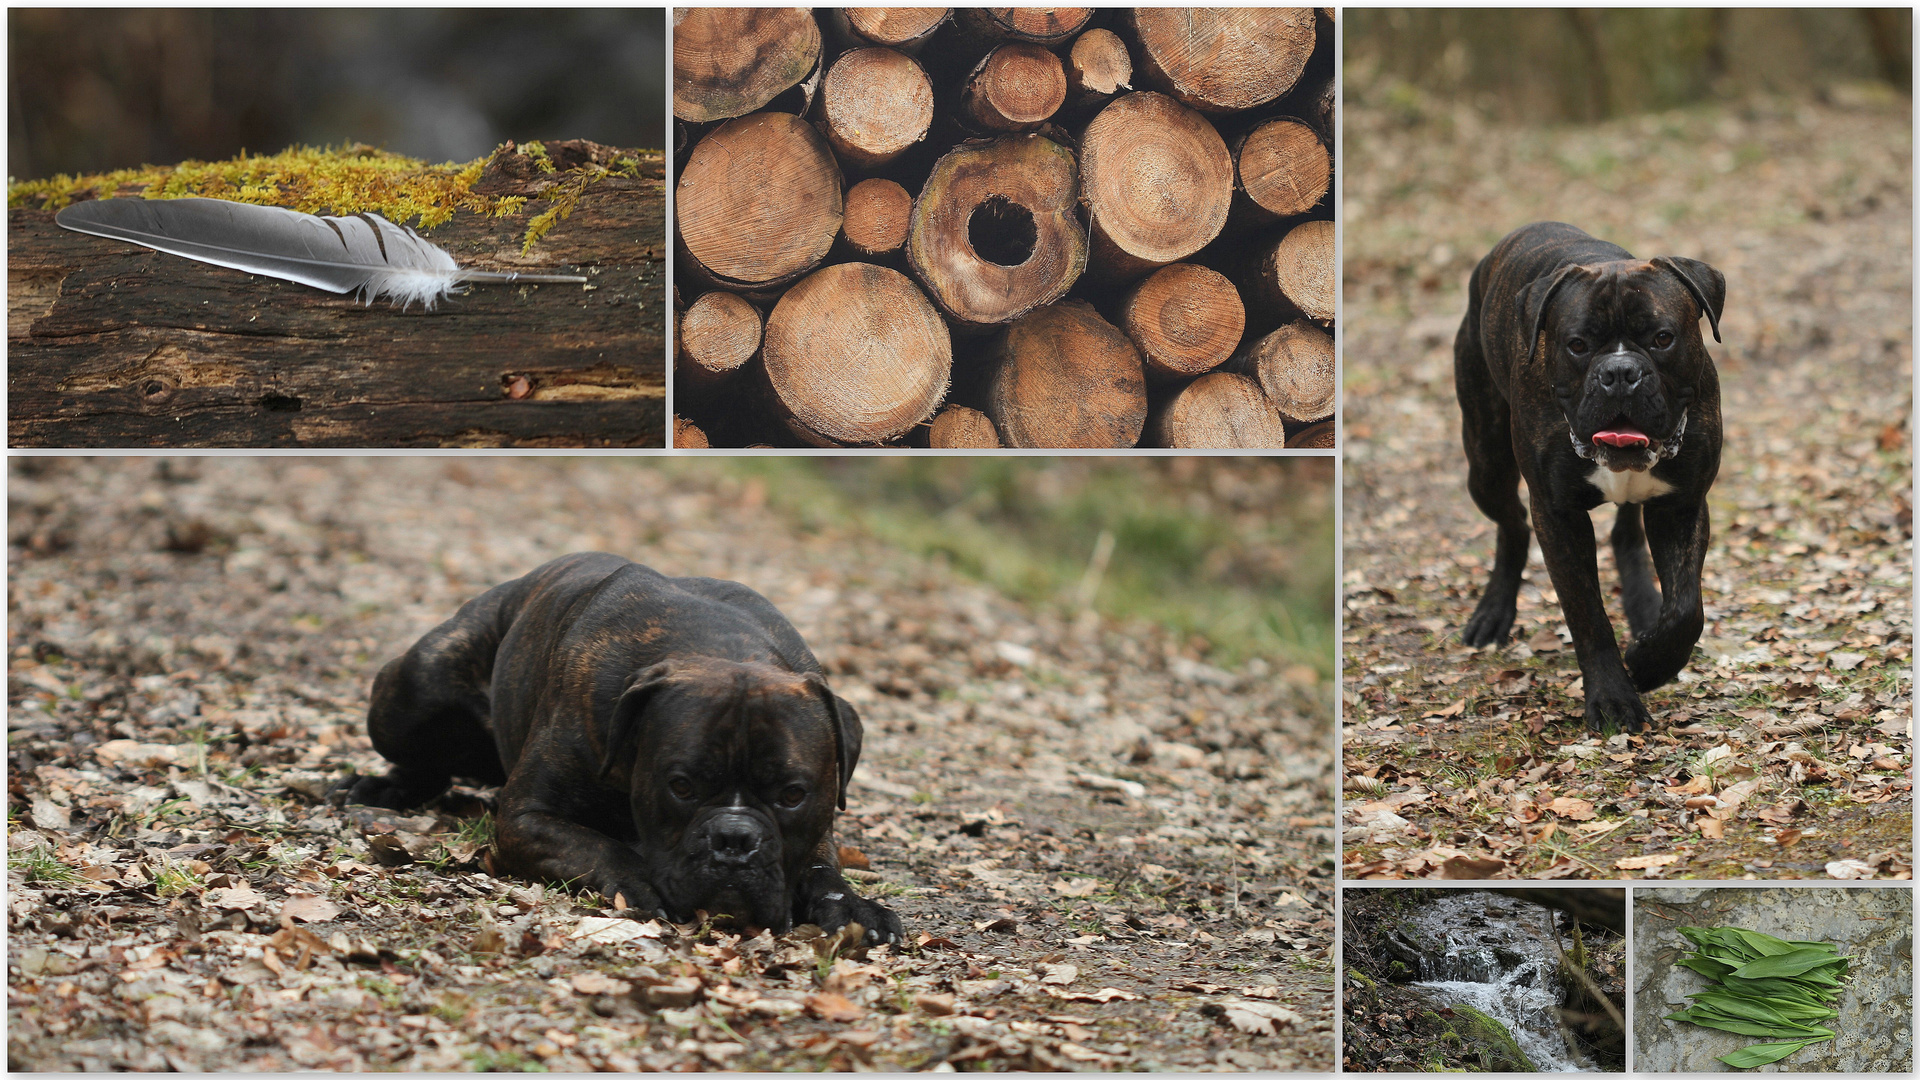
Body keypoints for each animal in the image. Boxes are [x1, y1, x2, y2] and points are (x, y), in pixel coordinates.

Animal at [339, 553, 906, 941]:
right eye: (680, 786)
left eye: (792, 795)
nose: (734, 839)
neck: (720, 648)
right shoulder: (526, 817)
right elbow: (600, 846)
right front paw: (638, 882)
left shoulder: (816, 828)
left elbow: (820, 867)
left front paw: (854, 907)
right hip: (411, 690)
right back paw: (377, 787)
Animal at [1451, 220, 1728, 730]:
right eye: (1577, 345)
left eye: (1663, 338)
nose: (1619, 372)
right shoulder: (1559, 517)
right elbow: (1587, 615)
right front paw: (1614, 697)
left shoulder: (1681, 504)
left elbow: (1686, 608)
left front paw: (1651, 663)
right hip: (1486, 465)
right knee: (1513, 525)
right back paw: (1494, 612)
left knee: (1625, 535)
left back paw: (1643, 609)